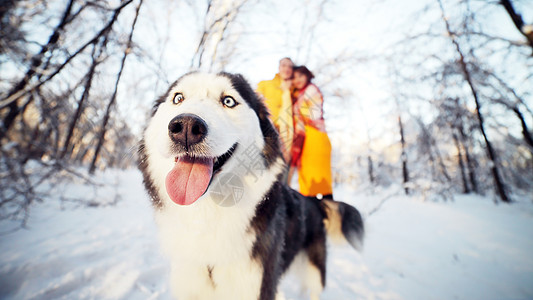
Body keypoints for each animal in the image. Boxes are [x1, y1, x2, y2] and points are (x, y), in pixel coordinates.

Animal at [137, 71, 364, 298]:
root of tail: (313, 201)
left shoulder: (258, 284)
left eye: (229, 101)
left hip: (314, 272)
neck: (208, 214)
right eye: (178, 98)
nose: (185, 127)